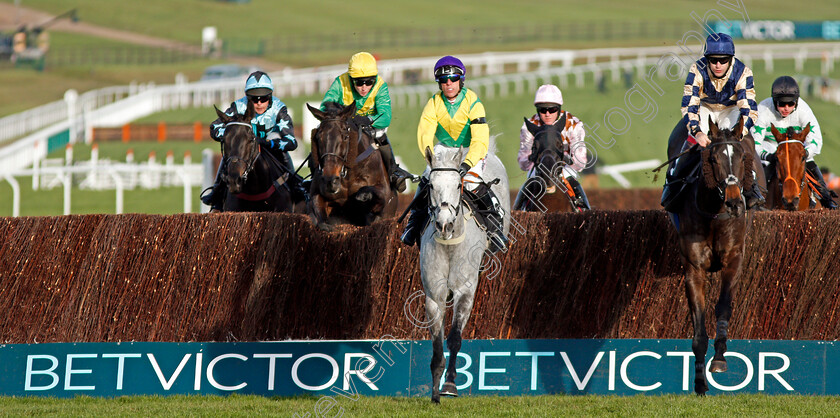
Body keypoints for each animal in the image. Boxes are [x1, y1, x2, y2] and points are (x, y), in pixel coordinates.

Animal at [306, 102, 398, 230]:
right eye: (318, 137)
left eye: (345, 137)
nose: (330, 179)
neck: (348, 173)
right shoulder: (317, 194)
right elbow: (320, 216)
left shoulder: (383, 196)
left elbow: (378, 198)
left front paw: (363, 194)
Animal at [420, 142, 512, 404]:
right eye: (431, 185)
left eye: (457, 185)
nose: (444, 224)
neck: (450, 245)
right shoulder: (434, 296)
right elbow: (437, 342)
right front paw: (435, 392)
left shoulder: (465, 292)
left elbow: (454, 338)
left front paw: (449, 385)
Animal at [668, 116, 756, 396]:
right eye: (713, 159)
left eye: (742, 157)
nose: (734, 204)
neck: (716, 215)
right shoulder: (693, 269)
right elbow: (698, 328)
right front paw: (699, 383)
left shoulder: (733, 260)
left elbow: (723, 307)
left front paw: (719, 359)